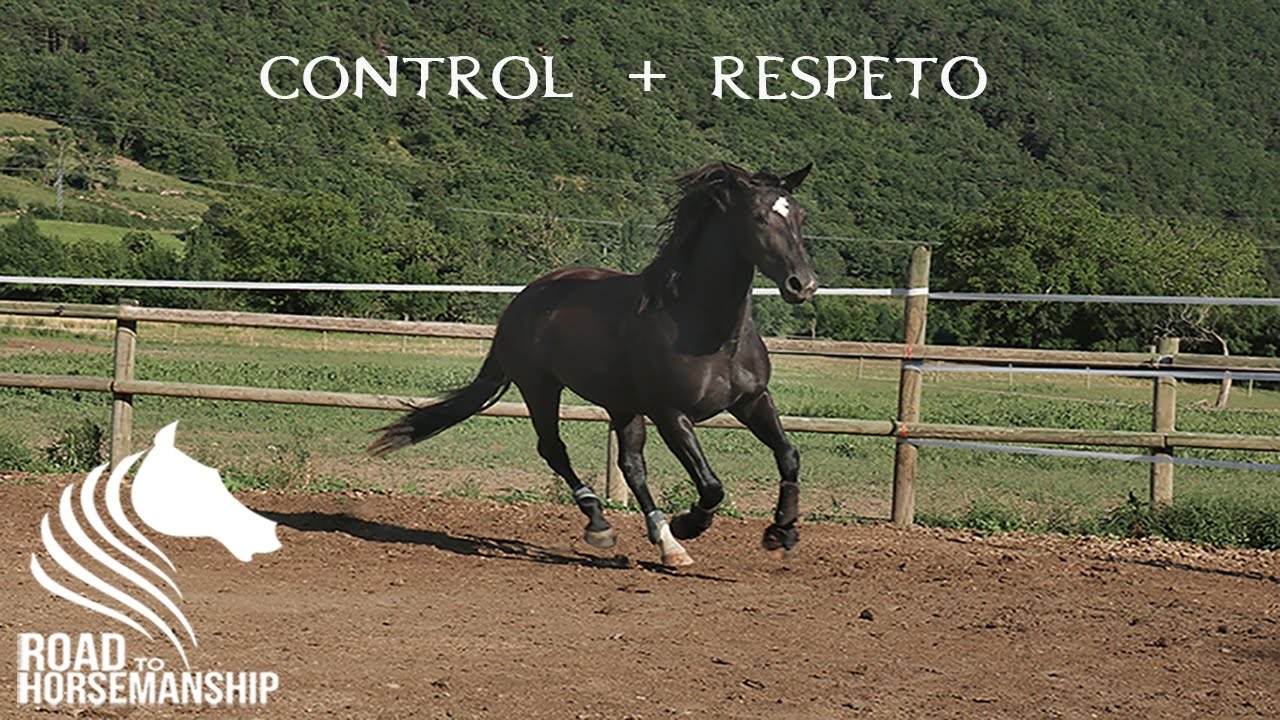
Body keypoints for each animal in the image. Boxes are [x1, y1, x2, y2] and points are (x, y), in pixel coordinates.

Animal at [369, 161, 818, 567]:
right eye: (758, 217)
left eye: (799, 215)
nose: (803, 284)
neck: (704, 329)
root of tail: (524, 298)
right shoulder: (671, 413)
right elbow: (712, 486)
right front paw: (689, 523)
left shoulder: (752, 400)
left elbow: (789, 455)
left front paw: (782, 532)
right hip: (540, 387)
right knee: (554, 448)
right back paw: (602, 524)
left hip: (620, 403)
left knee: (631, 466)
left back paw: (666, 543)